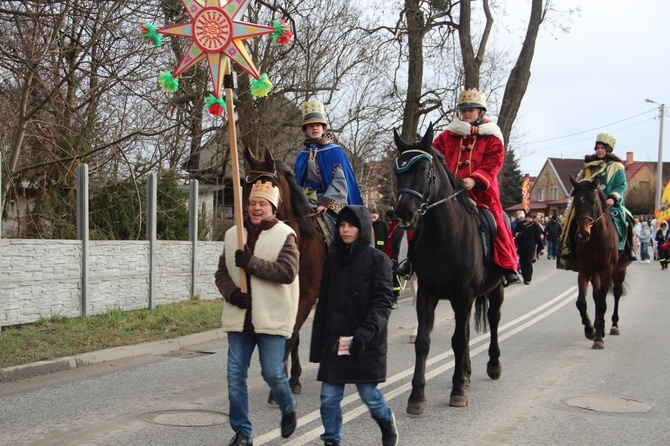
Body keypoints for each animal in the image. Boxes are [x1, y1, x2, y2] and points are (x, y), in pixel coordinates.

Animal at [244, 149, 328, 398]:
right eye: (244, 184)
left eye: (268, 184)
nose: (250, 218)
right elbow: (292, 336)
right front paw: (294, 378)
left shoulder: (308, 295)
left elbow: (290, 337)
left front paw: (278, 388)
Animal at [394, 123, 504, 414]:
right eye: (397, 170)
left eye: (423, 169)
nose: (403, 214)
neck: (445, 236)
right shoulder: (427, 293)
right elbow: (424, 341)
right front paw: (416, 396)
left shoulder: (463, 295)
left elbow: (457, 341)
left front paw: (456, 392)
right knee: (465, 331)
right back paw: (465, 373)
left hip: (495, 289)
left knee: (493, 320)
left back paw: (493, 365)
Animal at [568, 177, 632, 348]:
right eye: (576, 202)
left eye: (593, 202)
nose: (583, 234)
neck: (595, 239)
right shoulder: (585, 271)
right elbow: (581, 303)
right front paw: (590, 330)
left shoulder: (607, 271)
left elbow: (603, 303)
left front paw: (598, 339)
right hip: (595, 273)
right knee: (596, 296)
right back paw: (598, 327)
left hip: (620, 271)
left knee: (616, 293)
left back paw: (613, 326)